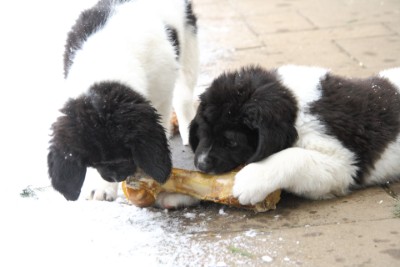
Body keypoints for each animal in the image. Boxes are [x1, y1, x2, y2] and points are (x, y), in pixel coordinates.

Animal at [48, 0, 200, 203]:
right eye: (93, 161)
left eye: (127, 150)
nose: (116, 177)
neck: (107, 65)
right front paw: (102, 187)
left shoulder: (161, 96)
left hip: (188, 40)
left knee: (184, 93)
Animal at [190, 65, 400, 205]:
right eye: (203, 131)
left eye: (232, 142)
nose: (201, 164)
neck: (295, 109)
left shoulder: (345, 164)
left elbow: (295, 156)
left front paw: (250, 180)